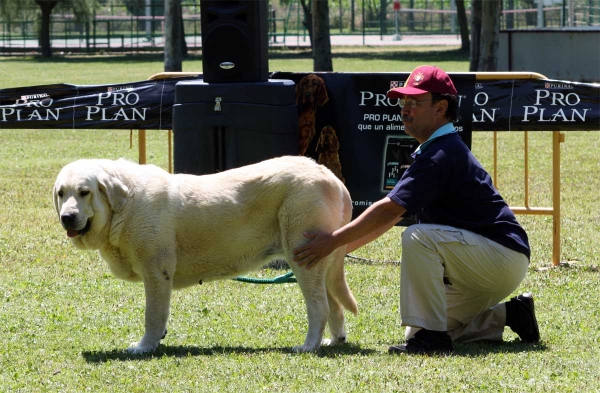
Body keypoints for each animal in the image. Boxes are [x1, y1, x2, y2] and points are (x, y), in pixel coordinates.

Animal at [52, 155, 356, 352]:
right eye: (61, 193)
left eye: (84, 192)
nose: (67, 217)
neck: (125, 205)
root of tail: (331, 176)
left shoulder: (156, 273)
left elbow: (153, 315)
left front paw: (145, 347)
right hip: (320, 263)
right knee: (334, 306)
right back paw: (333, 341)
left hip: (303, 259)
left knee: (319, 306)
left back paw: (308, 346)